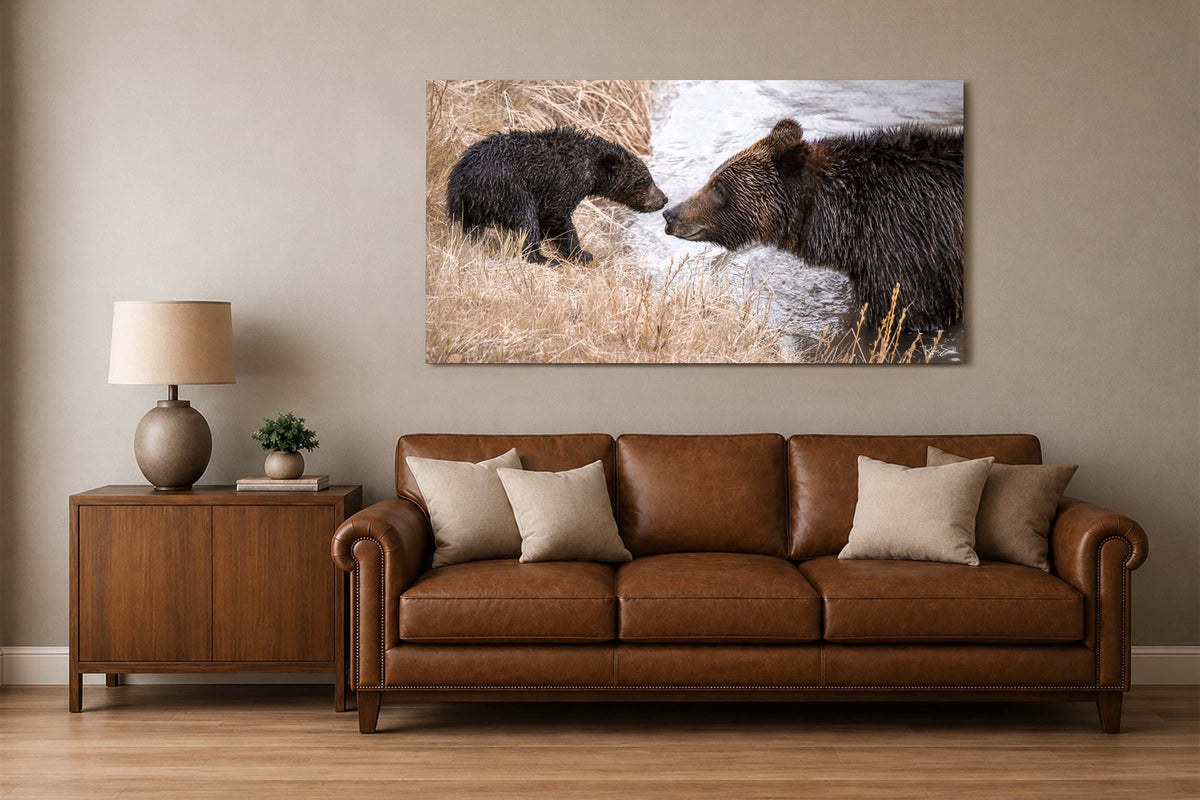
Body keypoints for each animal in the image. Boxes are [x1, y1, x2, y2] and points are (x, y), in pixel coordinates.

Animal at [447, 127, 668, 265]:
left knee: (471, 226)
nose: (664, 199)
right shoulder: (563, 182)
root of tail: (461, 180)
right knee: (525, 220)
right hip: (506, 187)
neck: (591, 170)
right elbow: (555, 216)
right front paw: (582, 253)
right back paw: (544, 259)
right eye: (646, 181)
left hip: (468, 205)